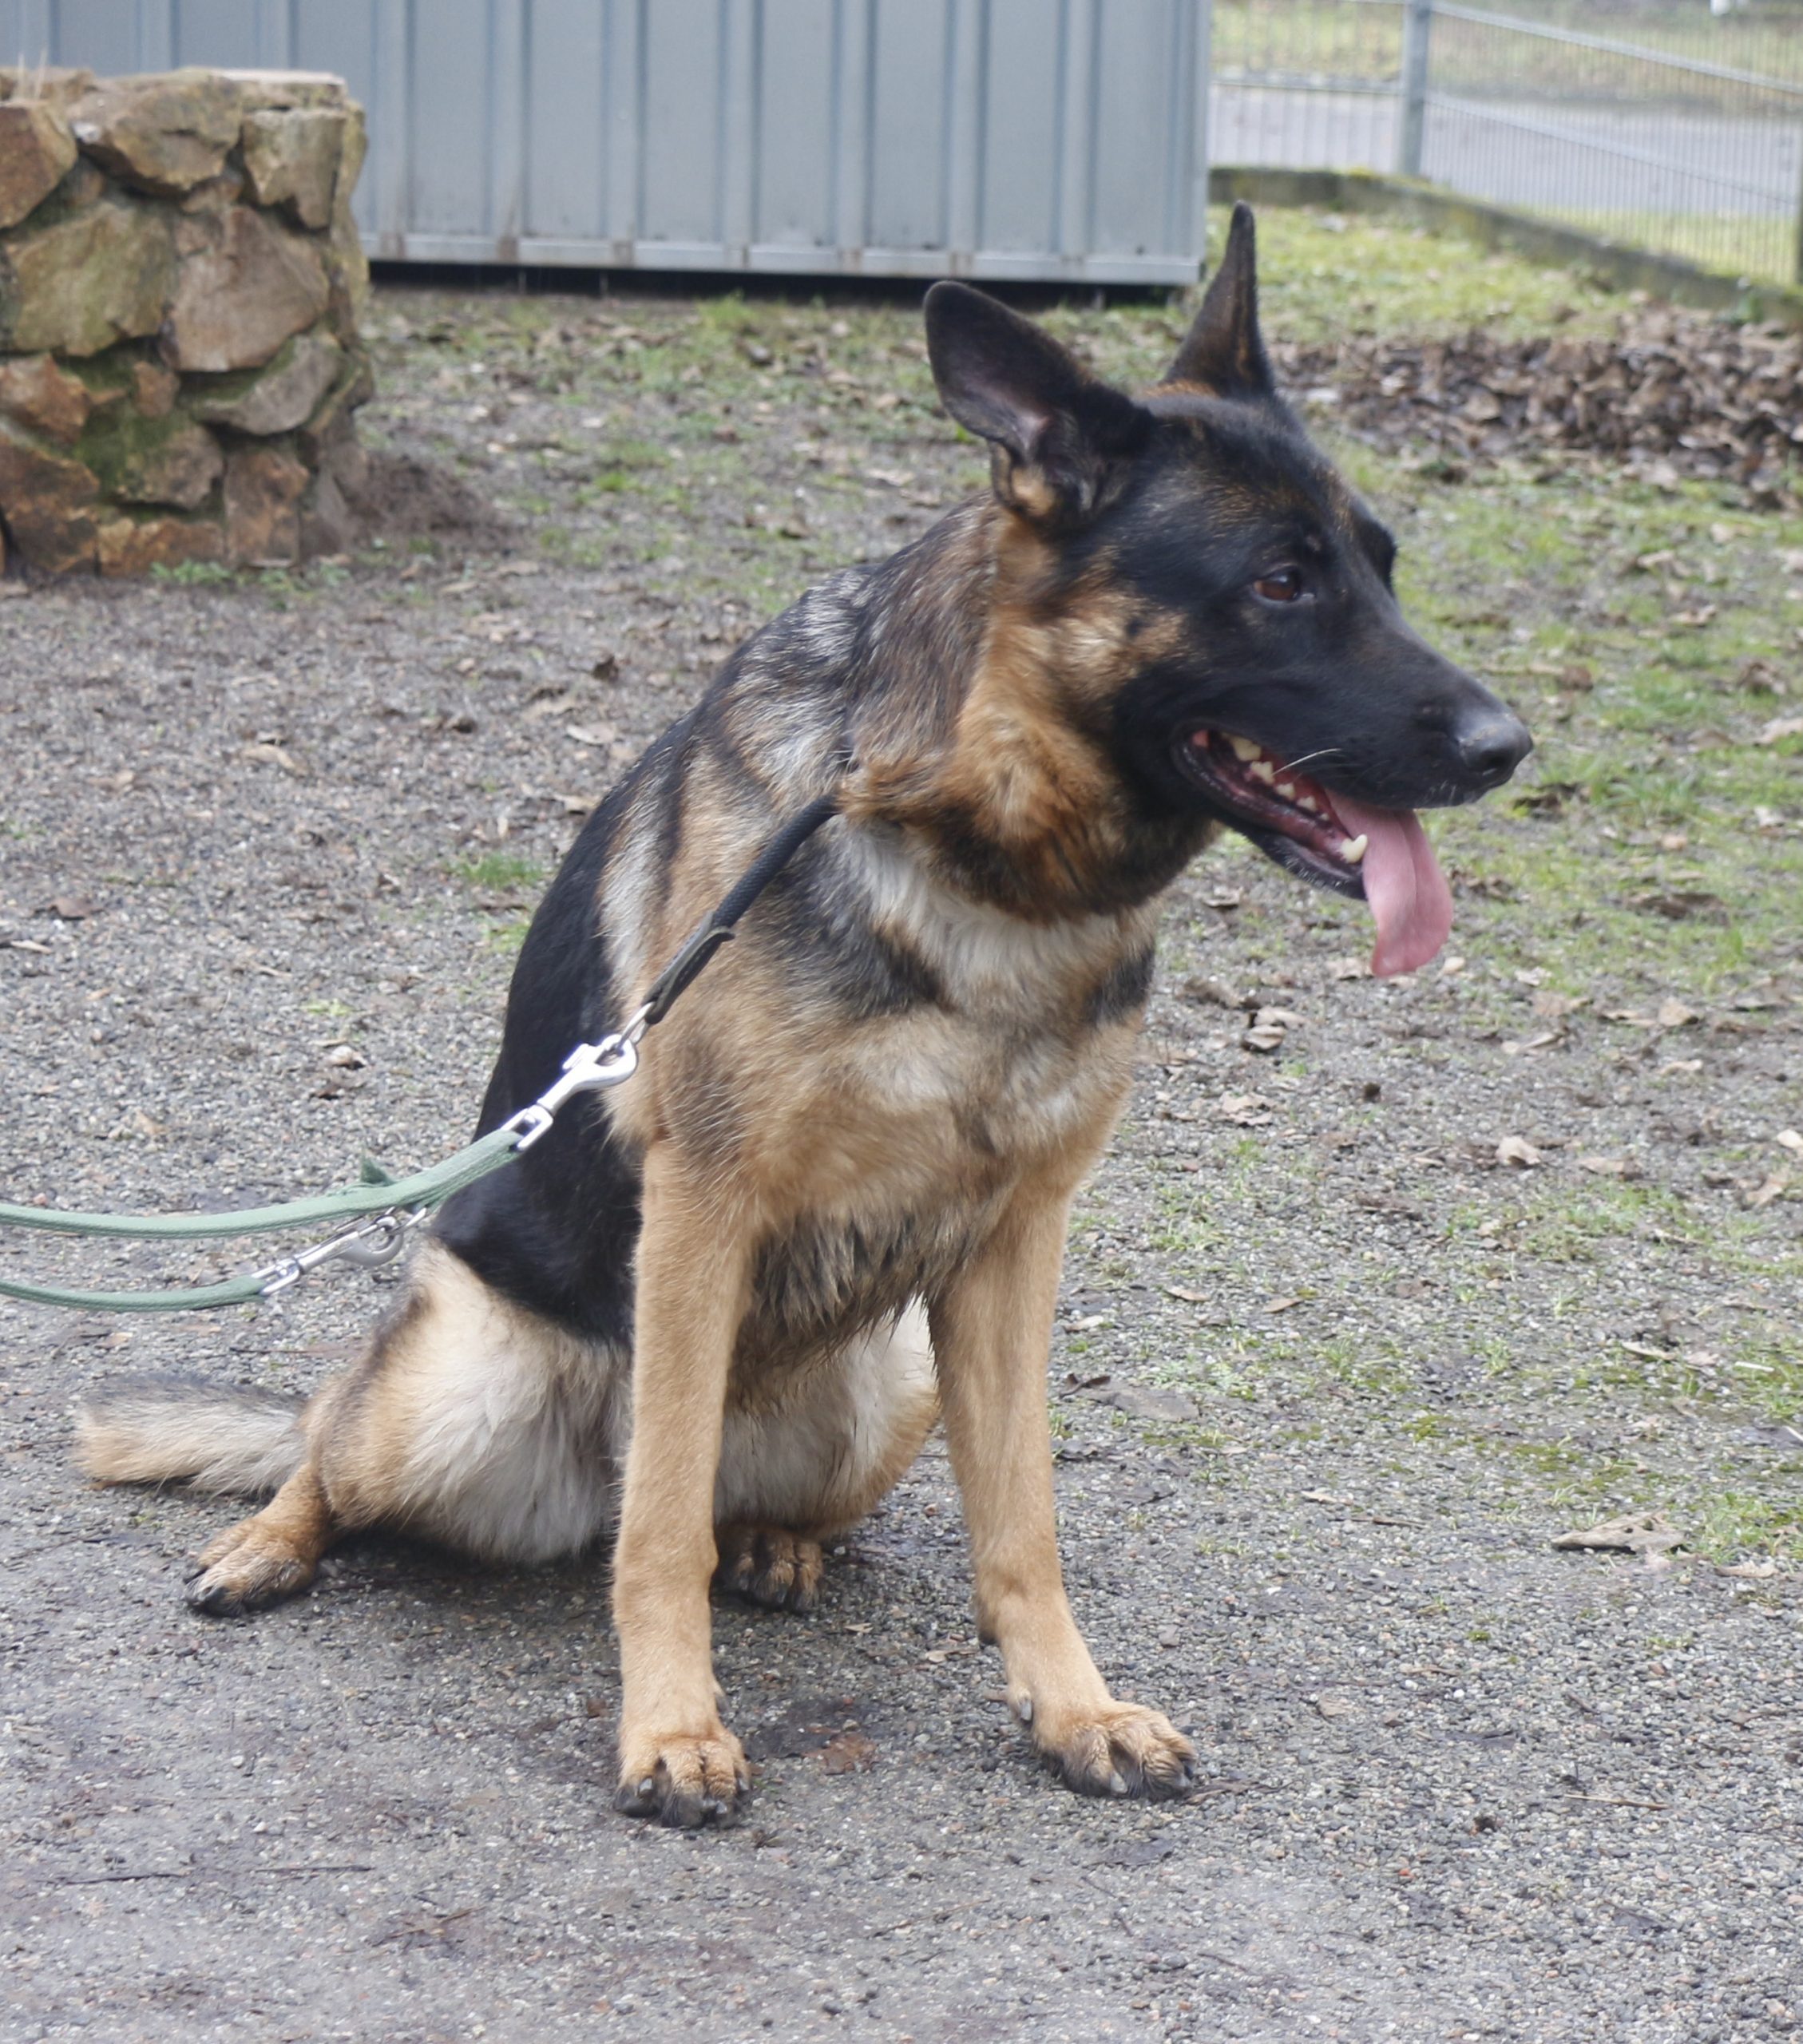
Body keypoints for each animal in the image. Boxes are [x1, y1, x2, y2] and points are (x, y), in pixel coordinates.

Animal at [77, 207, 1530, 1827]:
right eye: (1279, 581)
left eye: (1380, 568)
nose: (1507, 747)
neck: (980, 852)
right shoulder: (704, 1207)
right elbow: (655, 1534)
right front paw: (669, 1727)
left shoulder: (1015, 1243)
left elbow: (1021, 1521)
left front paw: (1070, 1707)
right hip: (458, 1390)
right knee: (353, 1437)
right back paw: (272, 1538)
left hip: (891, 1381)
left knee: (730, 1507)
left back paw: (776, 1544)